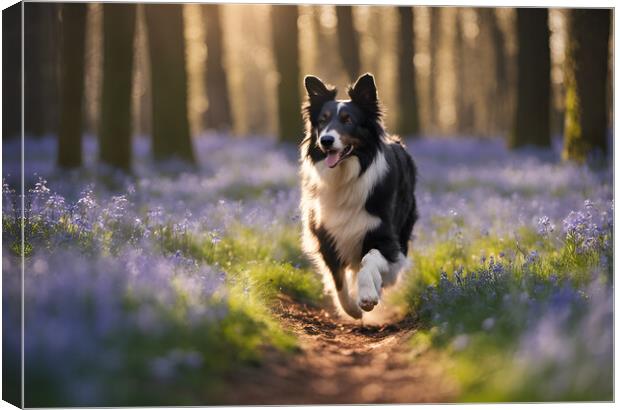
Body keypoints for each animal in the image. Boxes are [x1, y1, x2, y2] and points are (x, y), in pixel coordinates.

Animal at [300, 72, 416, 318]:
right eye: (323, 120)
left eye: (347, 120)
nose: (326, 140)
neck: (346, 176)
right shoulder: (327, 236)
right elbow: (338, 280)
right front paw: (352, 308)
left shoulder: (384, 236)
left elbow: (369, 261)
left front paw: (367, 296)